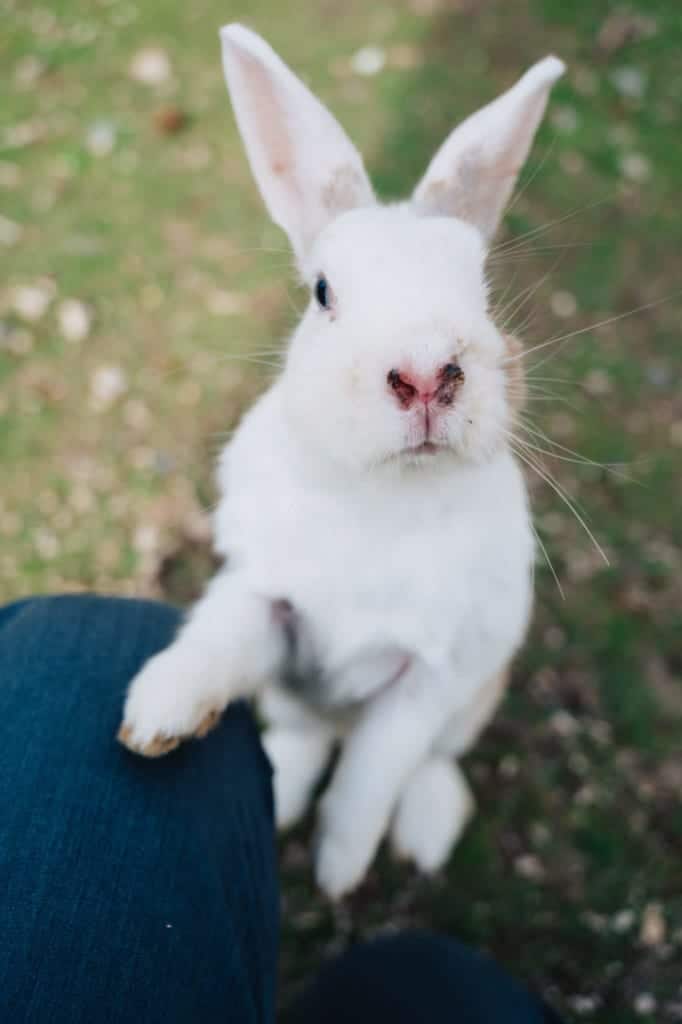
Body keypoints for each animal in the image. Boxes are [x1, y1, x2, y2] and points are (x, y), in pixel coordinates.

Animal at [118, 23, 565, 900]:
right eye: (323, 292)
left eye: (484, 293)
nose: (425, 372)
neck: (384, 495)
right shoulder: (271, 603)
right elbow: (216, 643)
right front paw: (156, 716)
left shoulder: (426, 679)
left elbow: (369, 778)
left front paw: (337, 871)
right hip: (299, 696)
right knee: (304, 736)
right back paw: (279, 795)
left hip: (474, 696)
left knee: (426, 765)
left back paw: (421, 834)